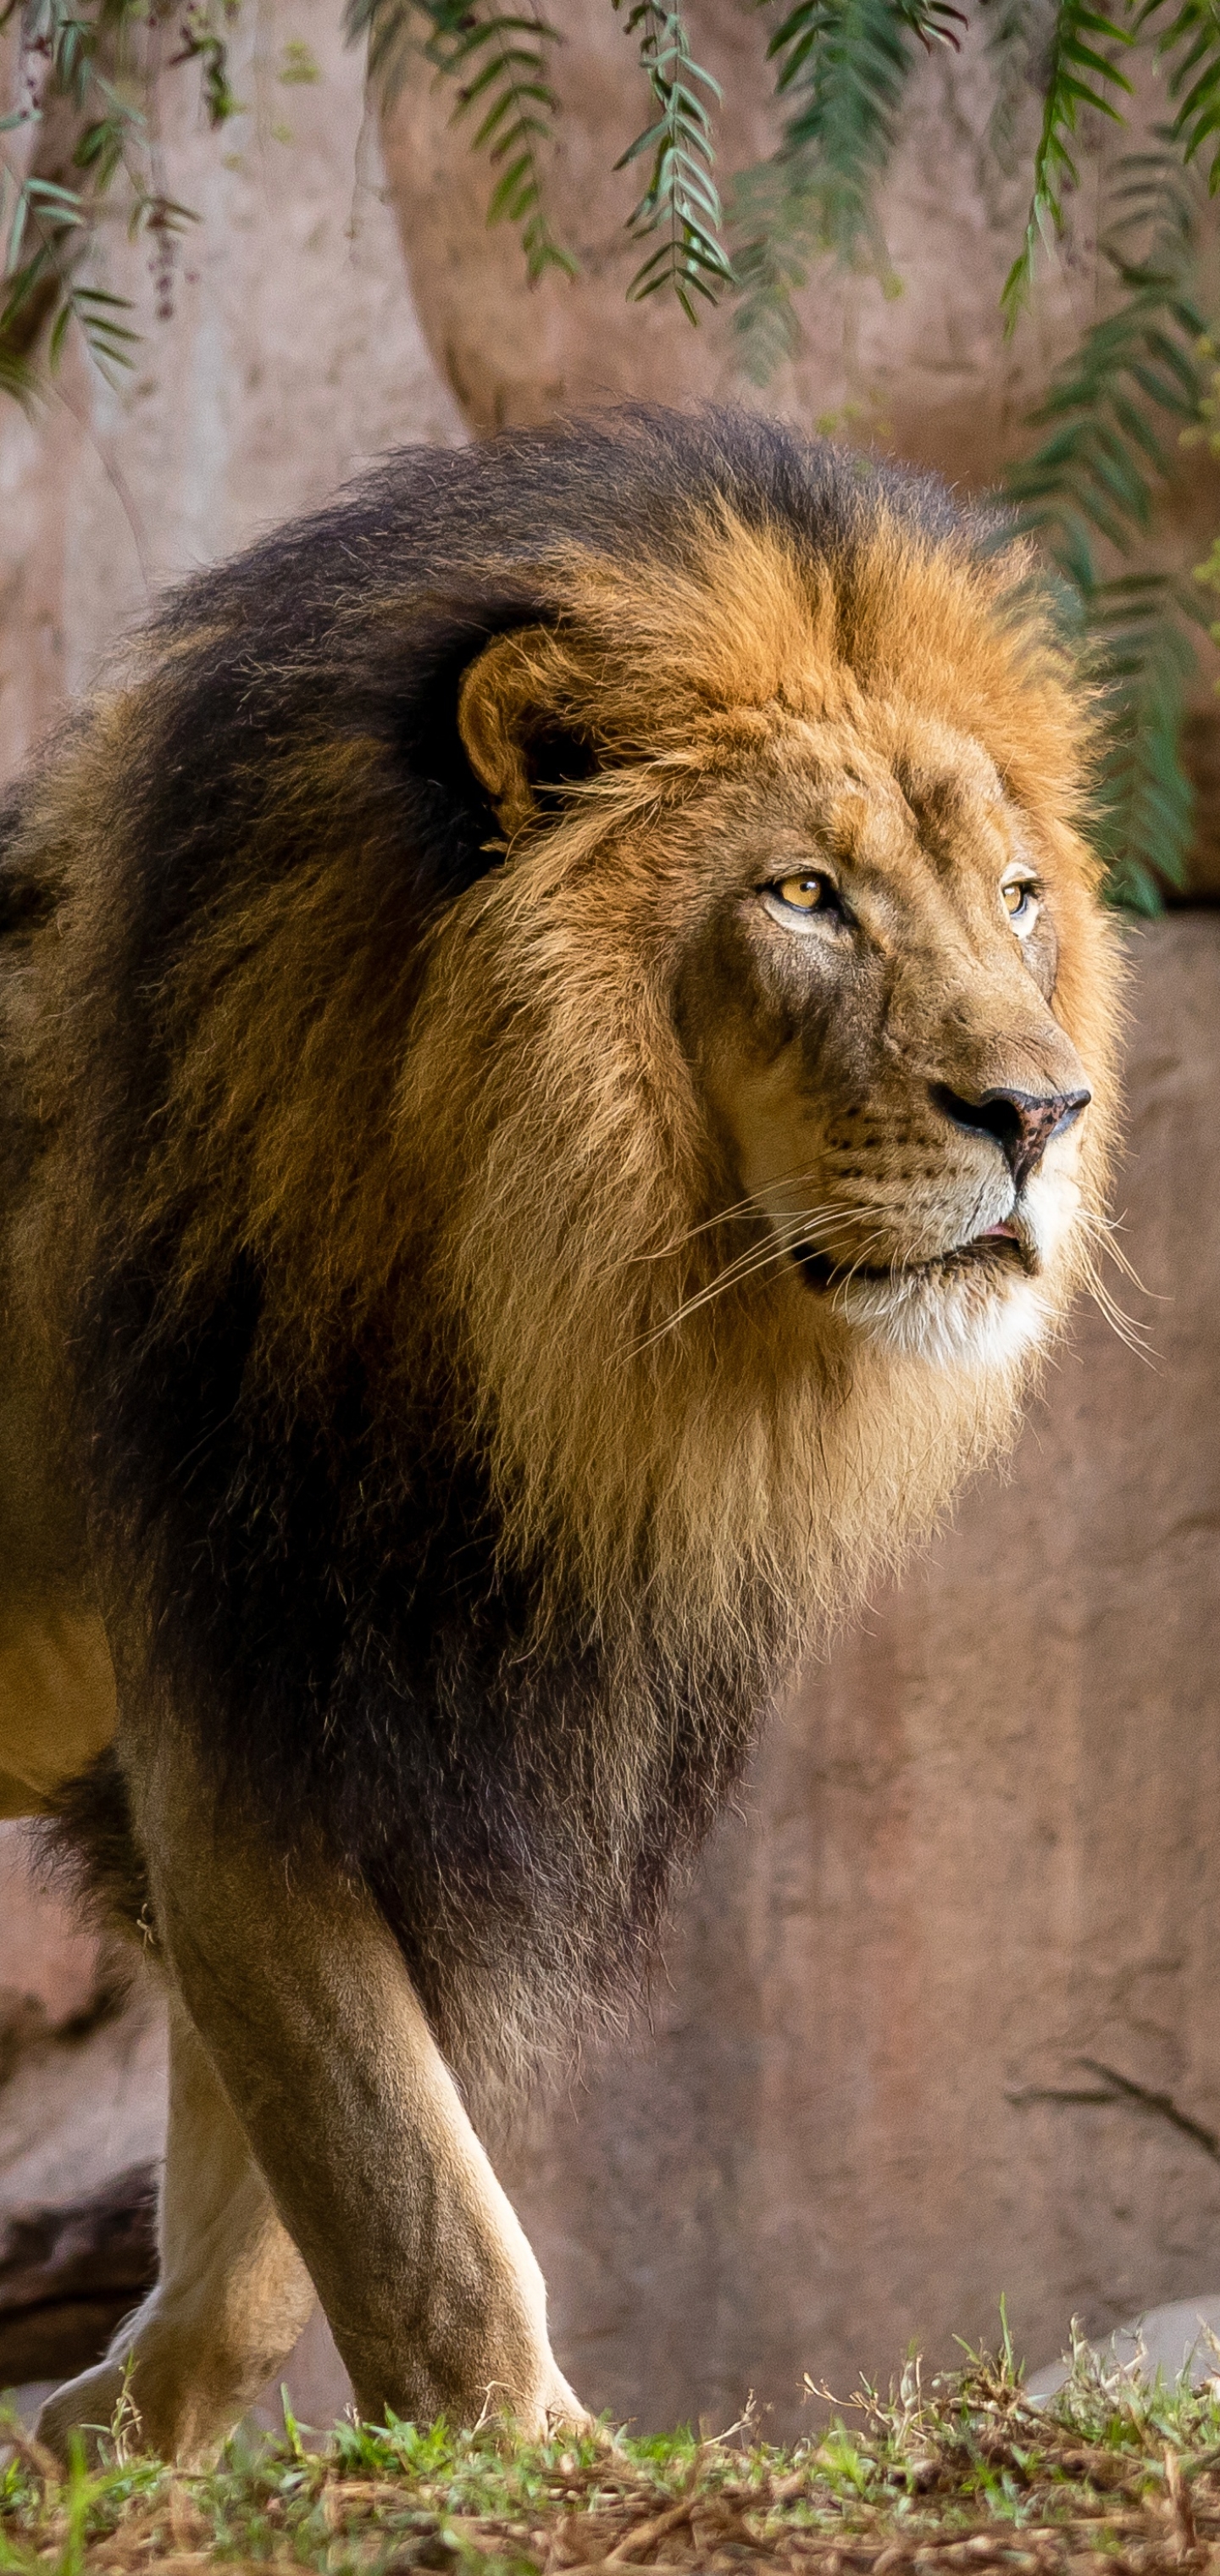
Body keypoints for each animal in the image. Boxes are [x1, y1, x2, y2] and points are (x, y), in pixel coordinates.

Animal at [0, 412, 1122, 2462]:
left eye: (1015, 896)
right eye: (804, 896)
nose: (1041, 1112)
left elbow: (279, 2200)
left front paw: (108, 2443)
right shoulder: (243, 1674)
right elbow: (405, 2182)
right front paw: (522, 2450)